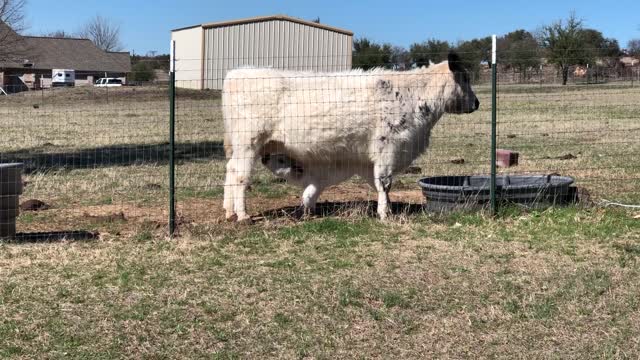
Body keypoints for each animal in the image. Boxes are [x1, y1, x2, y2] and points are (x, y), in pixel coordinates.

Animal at [222, 51, 478, 222]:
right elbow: (385, 183)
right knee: (240, 176)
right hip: (249, 142)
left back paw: (228, 211)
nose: (476, 103)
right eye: (465, 78)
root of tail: (236, 74)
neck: (413, 95)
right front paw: (385, 213)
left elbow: (376, 183)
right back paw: (242, 215)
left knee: (230, 170)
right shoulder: (388, 147)